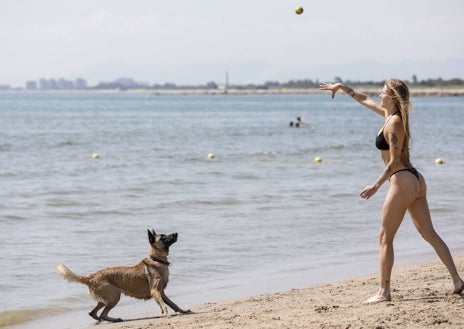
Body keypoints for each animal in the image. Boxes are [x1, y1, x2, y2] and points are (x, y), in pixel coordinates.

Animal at [57, 228, 190, 320]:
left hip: (106, 298)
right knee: (102, 314)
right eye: (163, 237)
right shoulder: (155, 291)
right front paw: (166, 314)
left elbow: (173, 304)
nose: (176, 233)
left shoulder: (161, 292)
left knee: (94, 313)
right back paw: (114, 319)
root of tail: (90, 277)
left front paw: (183, 311)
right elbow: (164, 305)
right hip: (114, 296)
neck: (157, 259)